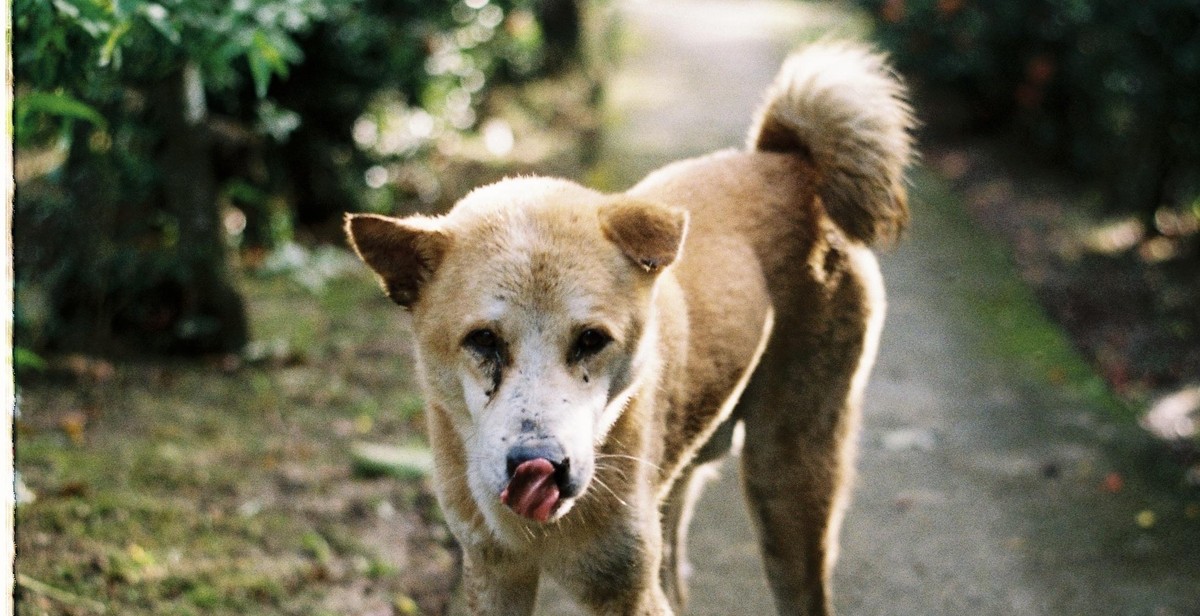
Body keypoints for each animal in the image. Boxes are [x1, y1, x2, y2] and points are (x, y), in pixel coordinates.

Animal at [350, 43, 916, 614]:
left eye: (591, 340)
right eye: (483, 340)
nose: (540, 465)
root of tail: (787, 162)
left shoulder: (623, 589)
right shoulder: (493, 574)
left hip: (784, 481)